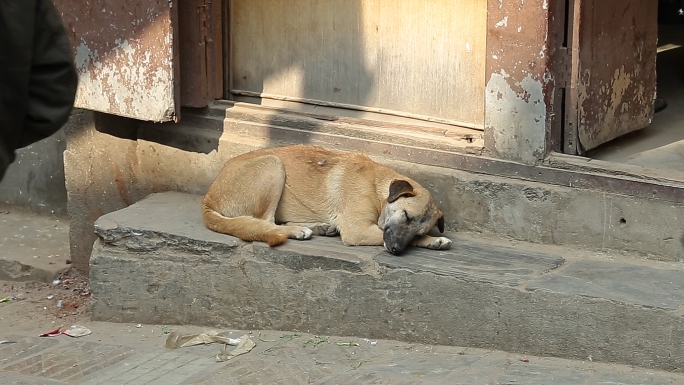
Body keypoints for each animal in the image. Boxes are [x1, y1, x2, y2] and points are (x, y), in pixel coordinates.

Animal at [200, 146, 452, 254]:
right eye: (406, 216)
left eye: (418, 231)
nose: (396, 250)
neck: (376, 186)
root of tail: (208, 199)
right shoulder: (357, 231)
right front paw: (433, 241)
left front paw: (433, 240)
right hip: (273, 165)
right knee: (267, 223)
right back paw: (299, 231)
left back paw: (319, 227)